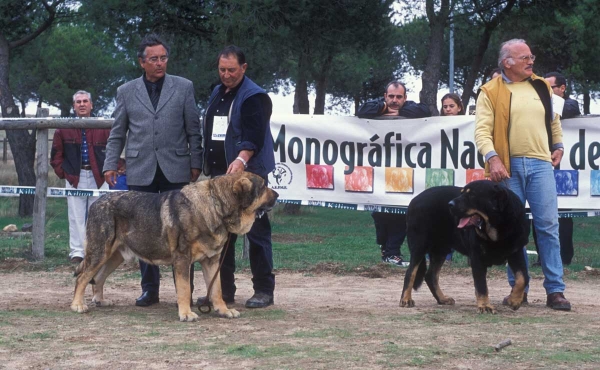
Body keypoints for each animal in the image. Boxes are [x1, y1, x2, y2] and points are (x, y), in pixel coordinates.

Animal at [71, 173, 278, 320]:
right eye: (263, 186)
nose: (277, 194)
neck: (216, 204)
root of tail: (97, 202)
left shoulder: (211, 261)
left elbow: (216, 289)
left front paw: (224, 310)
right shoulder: (182, 259)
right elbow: (184, 288)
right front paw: (186, 313)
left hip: (114, 256)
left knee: (98, 278)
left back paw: (100, 300)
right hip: (100, 251)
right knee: (83, 277)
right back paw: (77, 305)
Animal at [400, 181, 528, 314]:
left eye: (472, 195)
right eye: (461, 193)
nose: (450, 204)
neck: (497, 228)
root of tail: (413, 200)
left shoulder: (516, 252)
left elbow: (523, 278)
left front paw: (514, 300)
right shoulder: (477, 257)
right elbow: (481, 285)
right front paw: (485, 306)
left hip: (440, 250)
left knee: (431, 275)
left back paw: (442, 299)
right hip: (420, 245)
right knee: (410, 272)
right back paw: (406, 299)